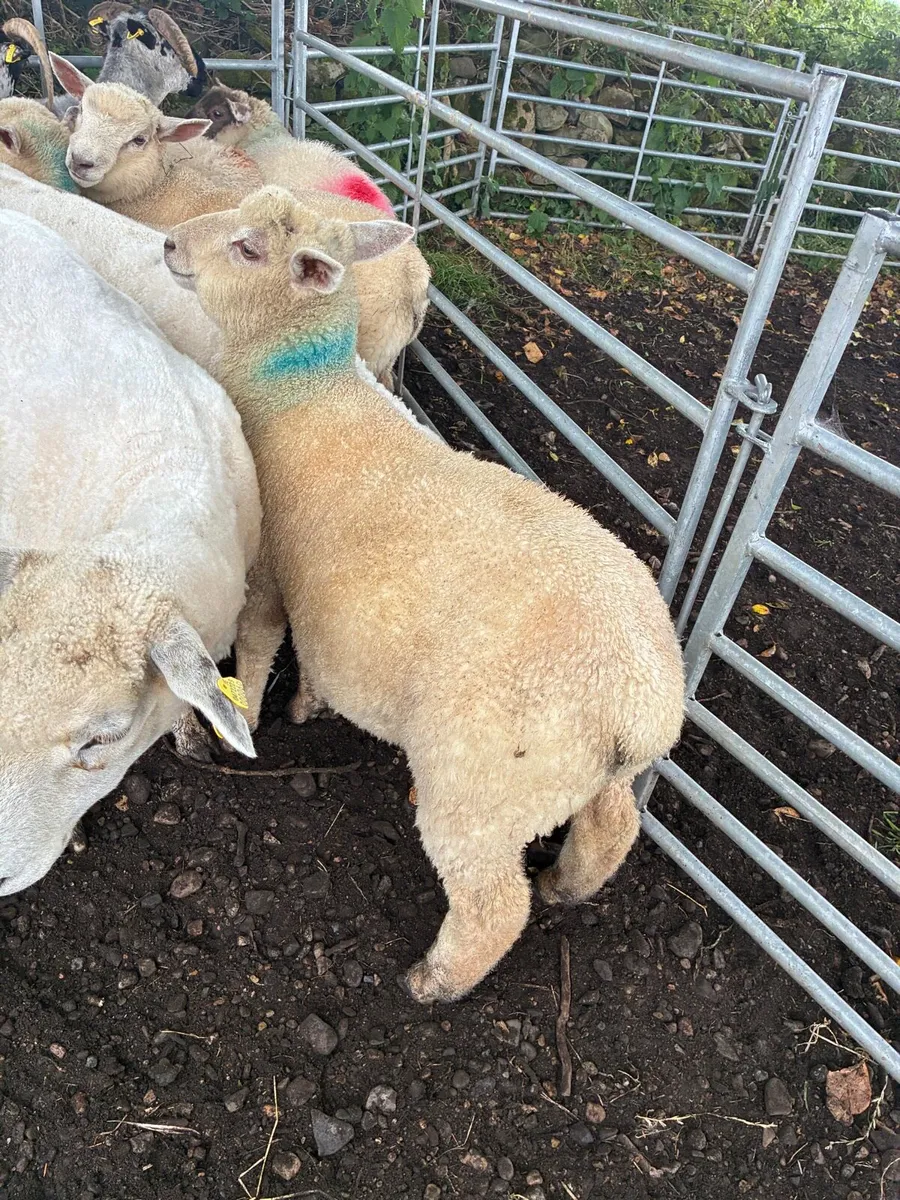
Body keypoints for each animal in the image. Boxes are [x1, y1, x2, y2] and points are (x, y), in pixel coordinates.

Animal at [164, 187, 685, 1003]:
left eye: (248, 247)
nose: (167, 246)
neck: (299, 392)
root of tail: (642, 703)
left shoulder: (267, 572)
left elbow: (256, 643)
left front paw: (245, 718)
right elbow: (315, 661)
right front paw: (308, 704)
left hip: (482, 789)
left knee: (493, 904)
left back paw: (435, 981)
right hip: (589, 775)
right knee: (611, 829)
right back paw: (568, 887)